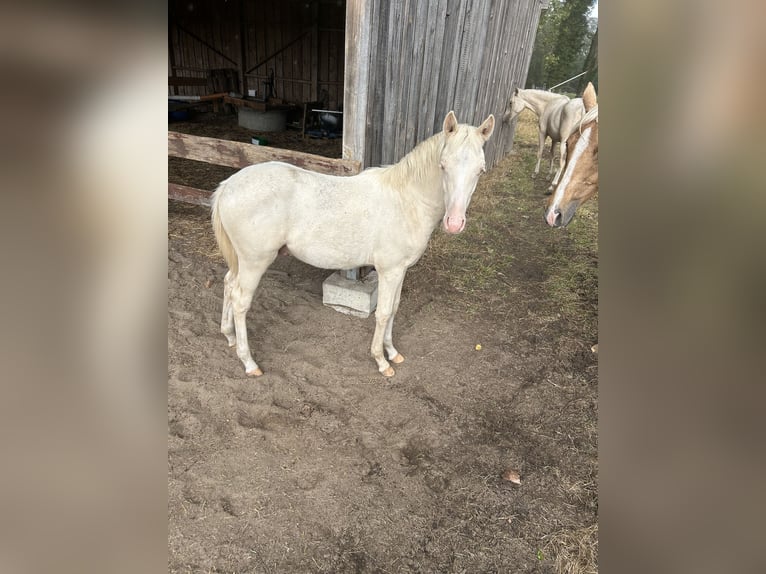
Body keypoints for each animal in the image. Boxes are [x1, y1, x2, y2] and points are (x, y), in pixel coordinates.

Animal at [212, 112, 498, 382]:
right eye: (443, 165)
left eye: (480, 170)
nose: (454, 223)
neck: (406, 200)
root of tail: (228, 186)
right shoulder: (389, 271)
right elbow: (383, 313)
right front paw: (382, 361)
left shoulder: (400, 270)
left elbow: (394, 308)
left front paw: (393, 352)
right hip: (255, 262)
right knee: (240, 302)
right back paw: (249, 362)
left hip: (241, 261)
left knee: (228, 284)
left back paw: (229, 336)